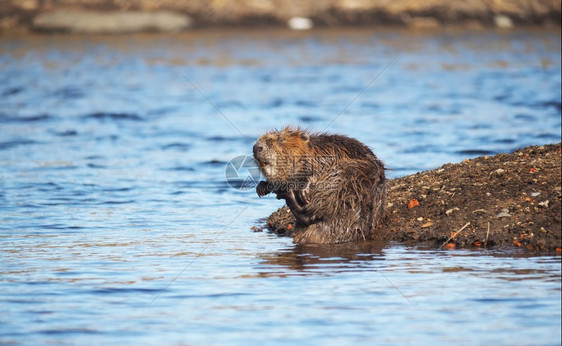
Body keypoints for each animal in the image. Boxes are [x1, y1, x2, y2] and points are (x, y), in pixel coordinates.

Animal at [254, 126, 384, 243]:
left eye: (281, 139)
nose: (257, 147)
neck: (316, 149)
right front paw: (261, 187)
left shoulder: (330, 153)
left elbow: (320, 168)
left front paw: (304, 190)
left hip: (350, 175)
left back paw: (289, 194)